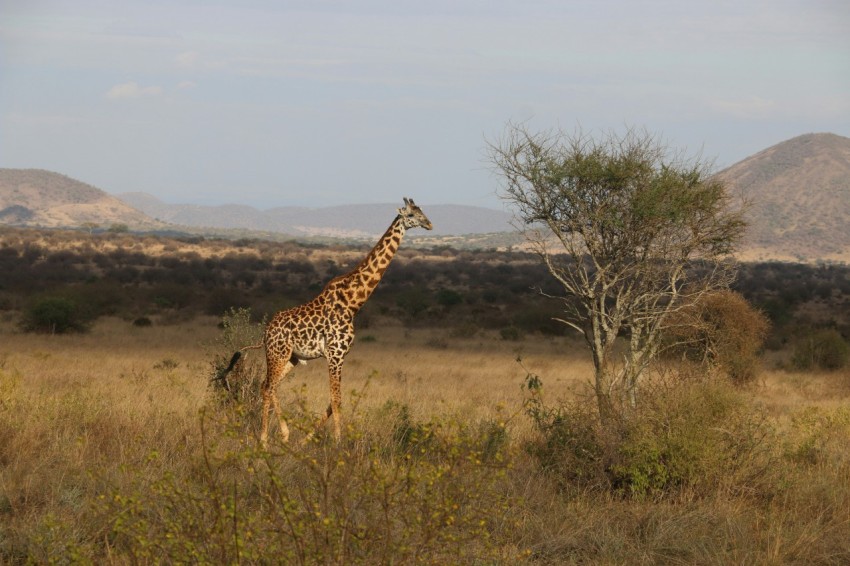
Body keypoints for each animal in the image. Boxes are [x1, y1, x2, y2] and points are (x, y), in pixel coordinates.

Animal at [226, 198, 432, 446]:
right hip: (277, 354)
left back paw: (284, 435)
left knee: (268, 386)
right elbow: (336, 399)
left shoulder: (340, 356)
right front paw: (338, 443)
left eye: (422, 211)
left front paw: (307, 440)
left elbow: (332, 402)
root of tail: (266, 332)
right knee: (267, 387)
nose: (429, 224)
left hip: (291, 358)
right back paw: (265, 439)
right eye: (411, 214)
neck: (353, 302)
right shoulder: (335, 355)